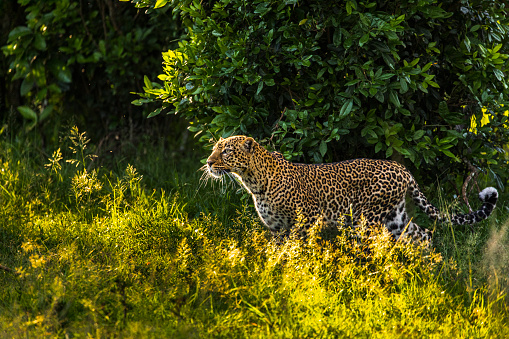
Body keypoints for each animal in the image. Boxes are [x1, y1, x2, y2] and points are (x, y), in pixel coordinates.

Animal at [204, 134, 498, 243]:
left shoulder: (304, 222)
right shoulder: (277, 229)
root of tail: (402, 169)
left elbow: (300, 251)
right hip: (395, 217)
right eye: (215, 148)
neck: (253, 181)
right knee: (422, 233)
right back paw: (425, 268)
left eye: (226, 151)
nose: (208, 162)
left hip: (368, 219)